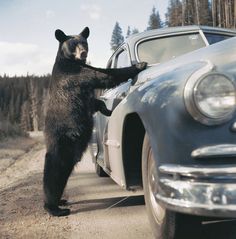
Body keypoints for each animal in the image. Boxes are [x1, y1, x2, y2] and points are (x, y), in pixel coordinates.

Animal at [42, 26, 146, 217]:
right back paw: (54, 208)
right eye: (73, 44)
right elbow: (103, 75)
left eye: (84, 42)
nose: (83, 53)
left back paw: (61, 200)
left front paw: (108, 109)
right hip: (61, 143)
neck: (70, 61)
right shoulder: (75, 73)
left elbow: (95, 102)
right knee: (53, 172)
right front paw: (138, 65)